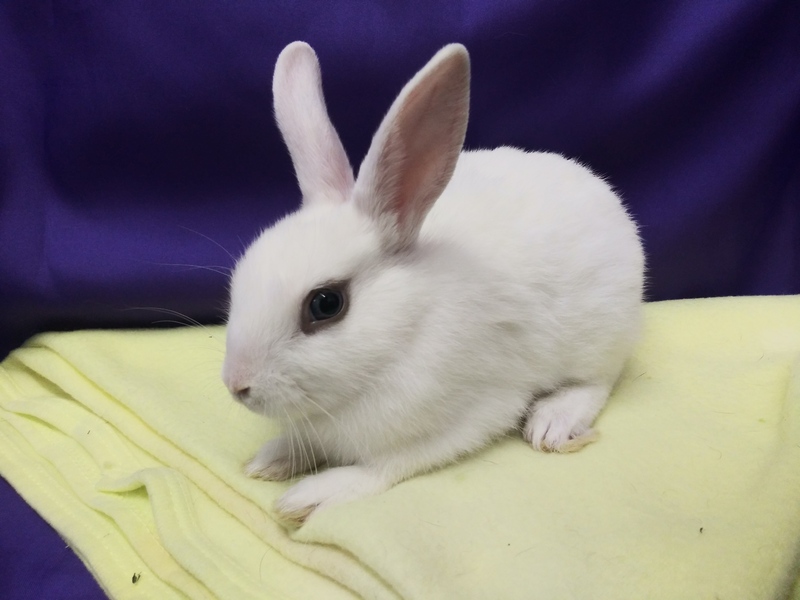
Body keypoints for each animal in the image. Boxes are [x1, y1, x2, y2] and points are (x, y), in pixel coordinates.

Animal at [222, 41, 645, 525]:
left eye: (326, 304)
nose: (236, 385)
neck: (404, 332)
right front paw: (271, 459)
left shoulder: (472, 414)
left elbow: (385, 466)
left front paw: (312, 495)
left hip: (601, 335)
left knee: (599, 380)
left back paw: (554, 421)